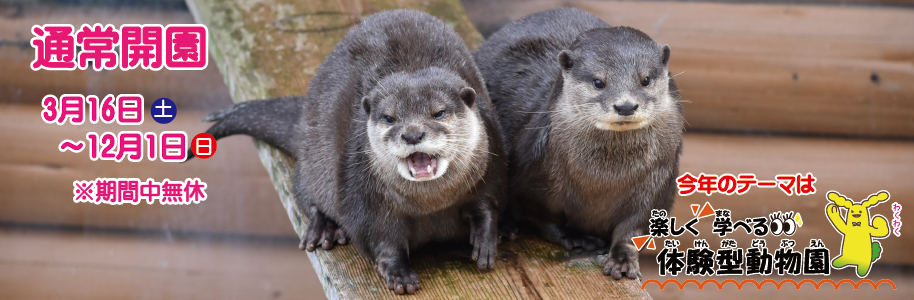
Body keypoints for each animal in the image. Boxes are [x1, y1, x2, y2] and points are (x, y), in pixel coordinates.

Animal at [194, 9, 506, 296]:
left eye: (438, 112)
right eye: (390, 118)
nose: (412, 134)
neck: (430, 205)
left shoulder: (490, 170)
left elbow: (486, 205)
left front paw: (487, 239)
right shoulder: (365, 197)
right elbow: (379, 239)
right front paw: (398, 272)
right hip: (314, 161)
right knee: (305, 193)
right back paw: (323, 227)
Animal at [474, 9, 680, 282]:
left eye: (645, 79)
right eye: (598, 82)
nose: (625, 106)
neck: (604, 180)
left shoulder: (657, 184)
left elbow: (633, 228)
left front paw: (623, 259)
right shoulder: (534, 175)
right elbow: (542, 217)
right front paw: (573, 236)